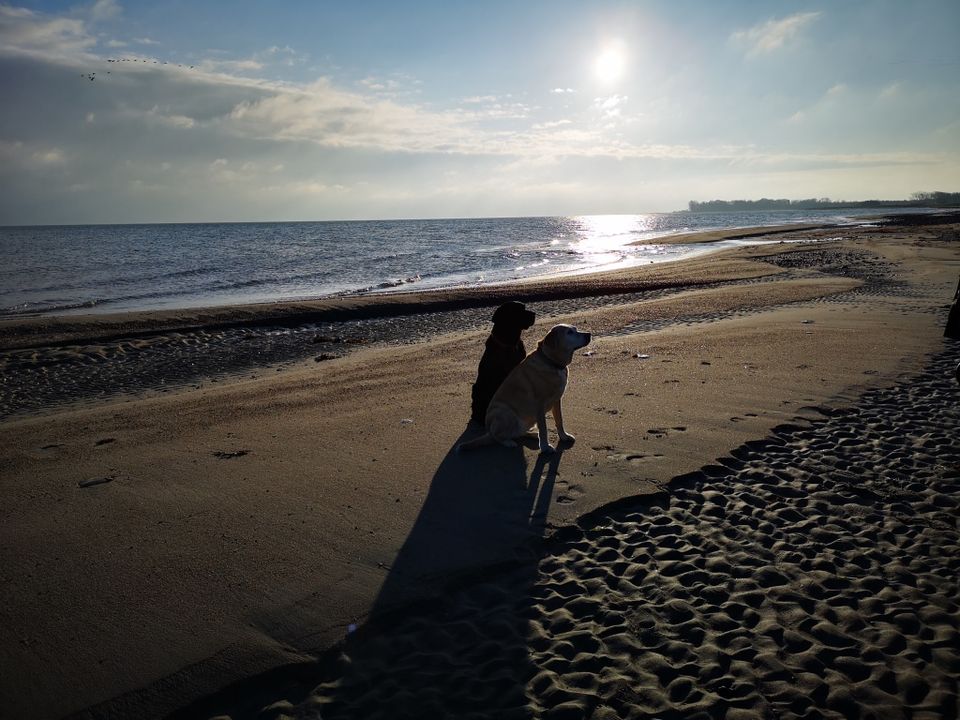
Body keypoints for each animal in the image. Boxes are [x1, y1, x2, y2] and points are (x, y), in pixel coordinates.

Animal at [460, 324, 588, 452]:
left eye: (575, 329)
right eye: (569, 332)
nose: (589, 334)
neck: (551, 362)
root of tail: (488, 430)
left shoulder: (557, 400)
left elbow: (559, 420)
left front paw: (564, 436)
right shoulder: (539, 405)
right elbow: (543, 429)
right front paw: (545, 447)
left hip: (527, 420)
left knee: (518, 433)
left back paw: (533, 434)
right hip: (505, 412)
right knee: (497, 436)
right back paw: (508, 442)